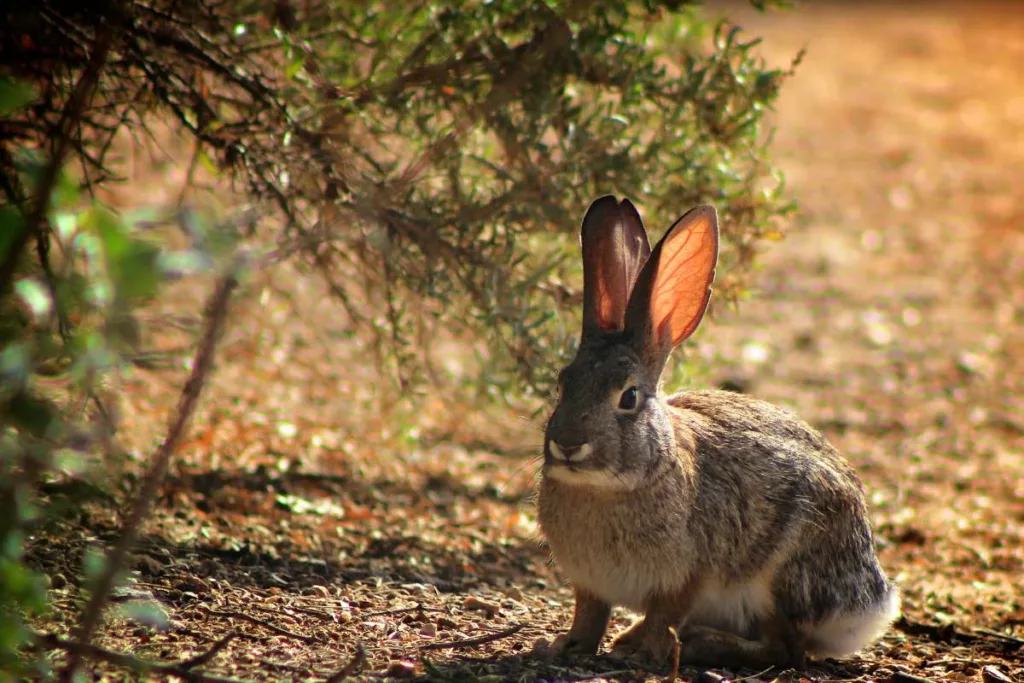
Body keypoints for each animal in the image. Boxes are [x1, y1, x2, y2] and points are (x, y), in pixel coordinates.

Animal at [540, 194, 901, 671]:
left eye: (629, 397)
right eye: (563, 383)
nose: (567, 445)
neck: (607, 487)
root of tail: (871, 604)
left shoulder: (687, 576)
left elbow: (664, 615)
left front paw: (643, 653)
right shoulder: (590, 584)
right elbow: (590, 615)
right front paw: (566, 646)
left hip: (780, 577)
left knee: (786, 650)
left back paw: (699, 643)